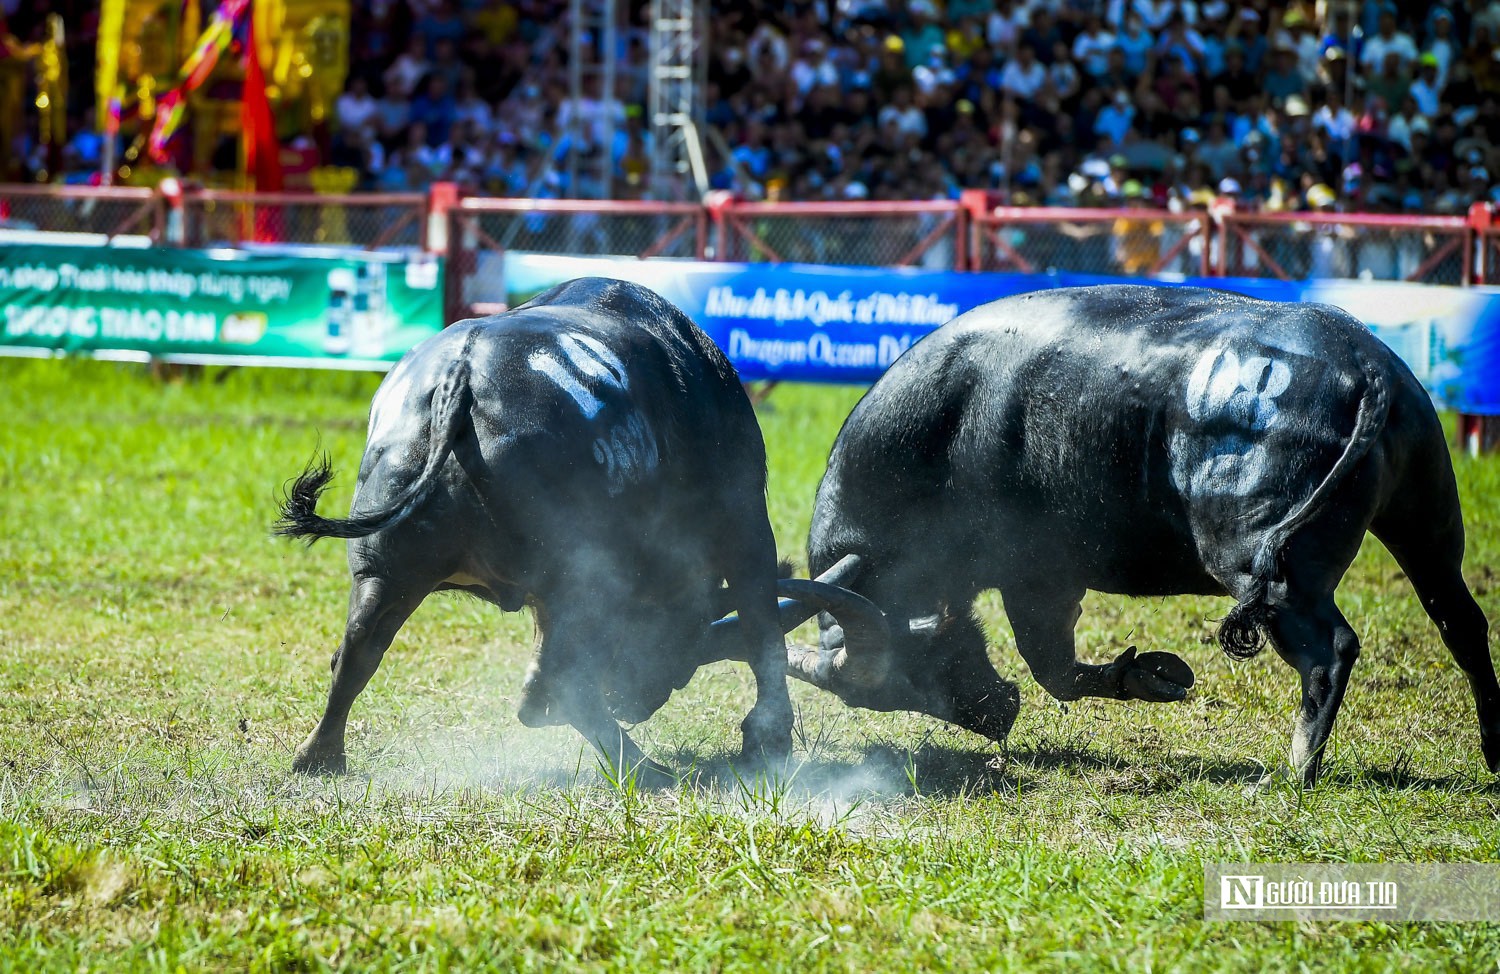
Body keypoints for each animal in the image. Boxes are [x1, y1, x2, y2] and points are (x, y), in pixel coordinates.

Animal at [277, 276, 876, 780]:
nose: (636, 701)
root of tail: (460, 376)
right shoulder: (744, 518)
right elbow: (761, 625)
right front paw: (769, 738)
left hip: (385, 570)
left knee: (357, 654)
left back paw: (319, 757)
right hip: (581, 577)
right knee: (566, 687)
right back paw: (646, 769)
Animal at [792, 280, 1494, 780]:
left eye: (918, 665)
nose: (994, 715)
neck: (947, 435)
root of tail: (1367, 367)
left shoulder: (1034, 578)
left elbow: (1049, 665)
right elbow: (1057, 668)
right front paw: (1151, 674)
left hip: (1266, 569)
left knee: (1331, 651)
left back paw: (1296, 770)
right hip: (1428, 529)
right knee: (1462, 621)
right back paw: (1493, 749)